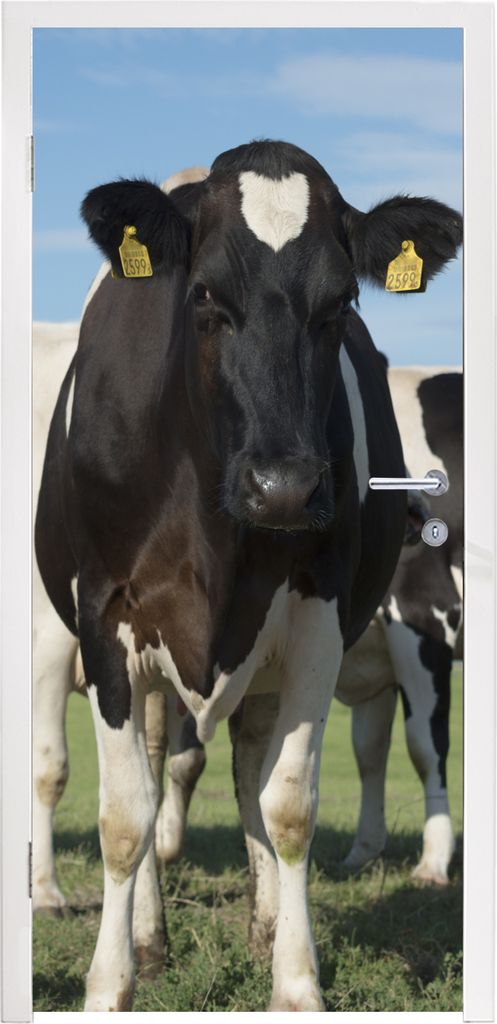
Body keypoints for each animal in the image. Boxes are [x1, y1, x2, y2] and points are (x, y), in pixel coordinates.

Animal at [35, 139, 462, 1011]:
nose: (285, 487)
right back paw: (149, 937)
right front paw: (108, 985)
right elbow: (125, 816)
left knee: (250, 770)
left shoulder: (317, 619)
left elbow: (287, 804)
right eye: (202, 294)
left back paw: (265, 924)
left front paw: (294, 983)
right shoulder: (104, 619)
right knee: (156, 768)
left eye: (341, 303)